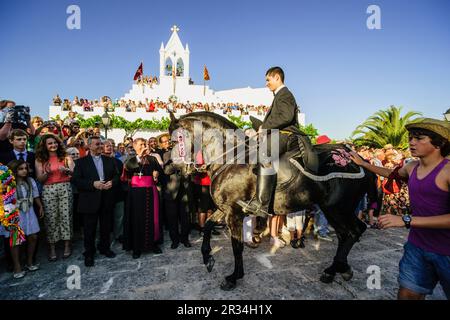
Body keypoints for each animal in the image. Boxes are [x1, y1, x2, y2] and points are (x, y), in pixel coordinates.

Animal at [169, 112, 376, 290]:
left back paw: (335, 269)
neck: (230, 158)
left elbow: (237, 246)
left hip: (337, 208)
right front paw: (208, 258)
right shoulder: (225, 209)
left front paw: (234, 277)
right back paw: (338, 269)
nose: (177, 170)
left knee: (351, 232)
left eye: (175, 140)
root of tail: (358, 161)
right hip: (338, 209)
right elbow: (207, 226)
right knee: (349, 233)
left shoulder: (234, 213)